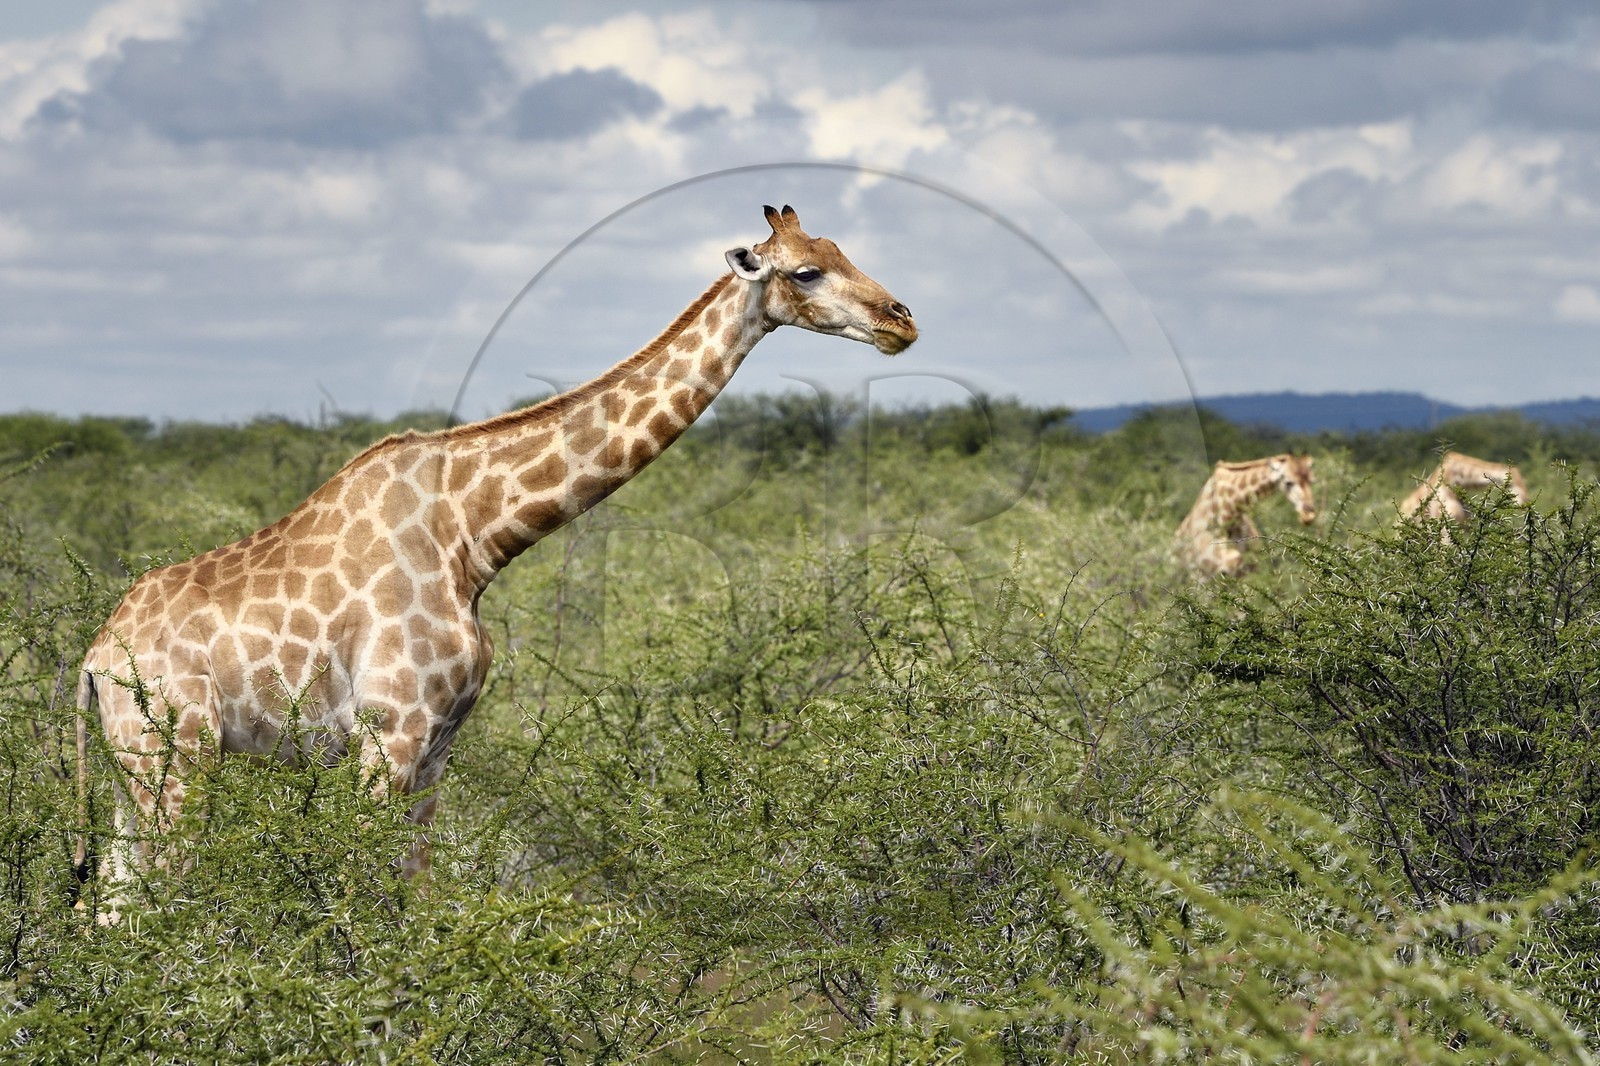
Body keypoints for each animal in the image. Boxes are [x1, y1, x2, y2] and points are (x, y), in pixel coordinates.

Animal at [76, 205, 916, 904]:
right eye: (805, 271)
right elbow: (358, 901)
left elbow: (415, 901)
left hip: (130, 778)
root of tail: (91, 662)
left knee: (107, 908)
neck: (473, 539)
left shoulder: (437, 747)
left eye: (841, 251)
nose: (901, 320)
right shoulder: (389, 731)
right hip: (177, 759)